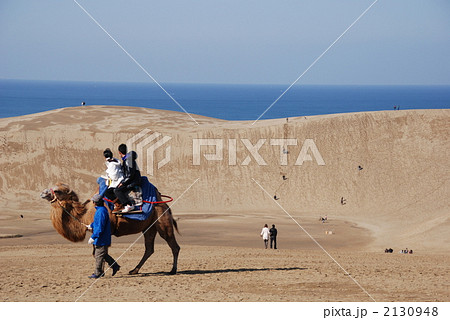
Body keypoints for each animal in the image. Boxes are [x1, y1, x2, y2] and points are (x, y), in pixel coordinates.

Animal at [39, 182, 179, 276]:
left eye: (57, 191)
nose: (42, 193)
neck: (84, 214)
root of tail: (165, 205)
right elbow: (98, 252)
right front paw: (110, 269)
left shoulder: (103, 231)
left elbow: (98, 252)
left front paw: (106, 270)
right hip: (149, 228)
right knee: (149, 249)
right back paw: (134, 270)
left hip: (162, 221)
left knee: (173, 245)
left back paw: (172, 270)